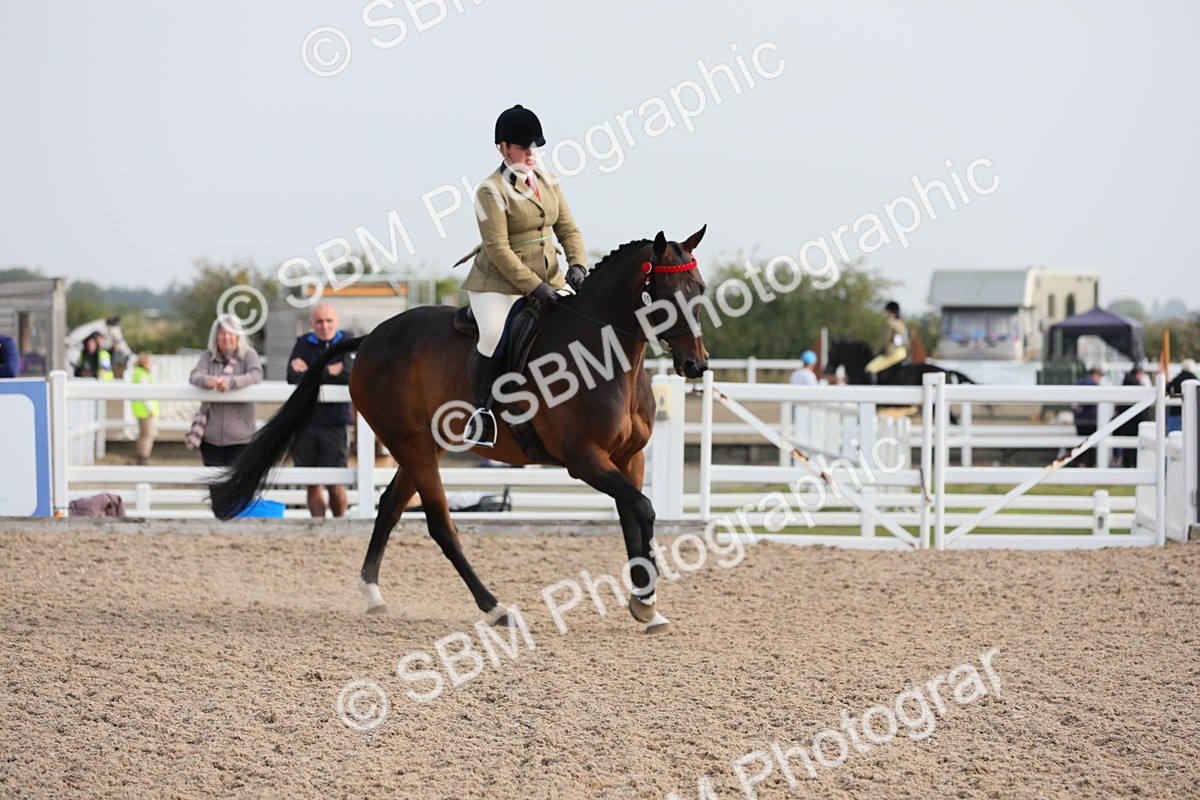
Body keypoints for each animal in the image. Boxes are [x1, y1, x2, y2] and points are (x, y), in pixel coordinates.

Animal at [209, 228, 709, 634]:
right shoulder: (584, 459)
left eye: (700, 289)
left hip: (426, 446)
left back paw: (373, 594)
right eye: (664, 294)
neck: (604, 354)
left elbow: (633, 517)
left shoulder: (628, 458)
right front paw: (645, 600)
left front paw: (646, 604)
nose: (696, 365)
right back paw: (496, 608)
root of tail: (369, 339)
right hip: (413, 447)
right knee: (440, 525)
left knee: (389, 508)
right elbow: (643, 509)